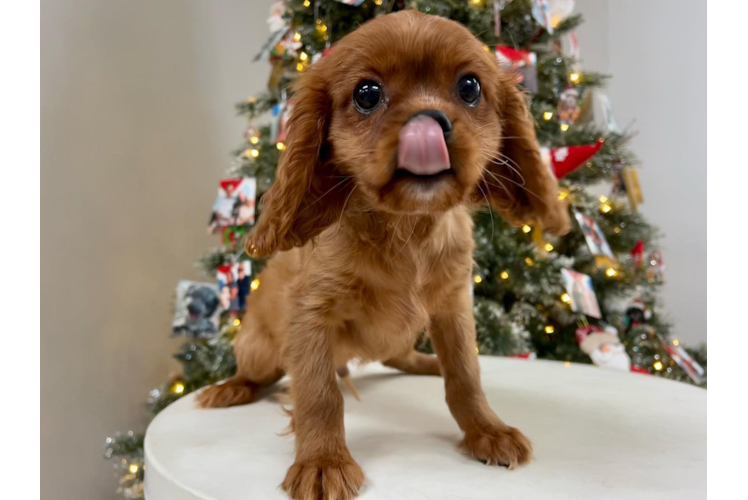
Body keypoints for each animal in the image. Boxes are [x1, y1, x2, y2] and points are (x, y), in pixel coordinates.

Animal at [199, 11, 568, 500]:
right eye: (367, 94)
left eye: (470, 87)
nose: (429, 121)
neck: (407, 228)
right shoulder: (311, 315)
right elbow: (319, 394)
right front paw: (323, 462)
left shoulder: (453, 306)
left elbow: (465, 375)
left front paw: (487, 430)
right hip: (258, 348)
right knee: (259, 373)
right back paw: (230, 388)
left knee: (399, 355)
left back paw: (427, 363)